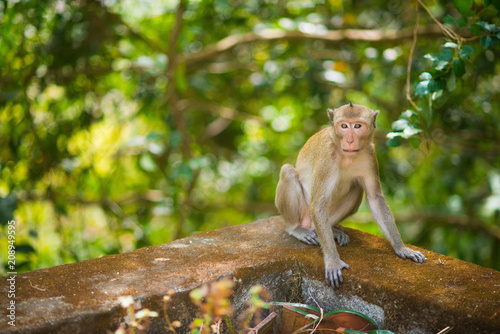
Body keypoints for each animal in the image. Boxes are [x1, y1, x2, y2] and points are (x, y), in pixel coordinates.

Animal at [276, 103, 424, 288]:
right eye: (344, 126)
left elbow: (375, 199)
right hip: (304, 212)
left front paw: (402, 248)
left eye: (358, 126)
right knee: (288, 171)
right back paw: (296, 228)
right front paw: (333, 262)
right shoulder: (326, 157)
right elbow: (318, 204)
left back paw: (331, 230)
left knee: (356, 188)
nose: (349, 141)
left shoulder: (370, 155)